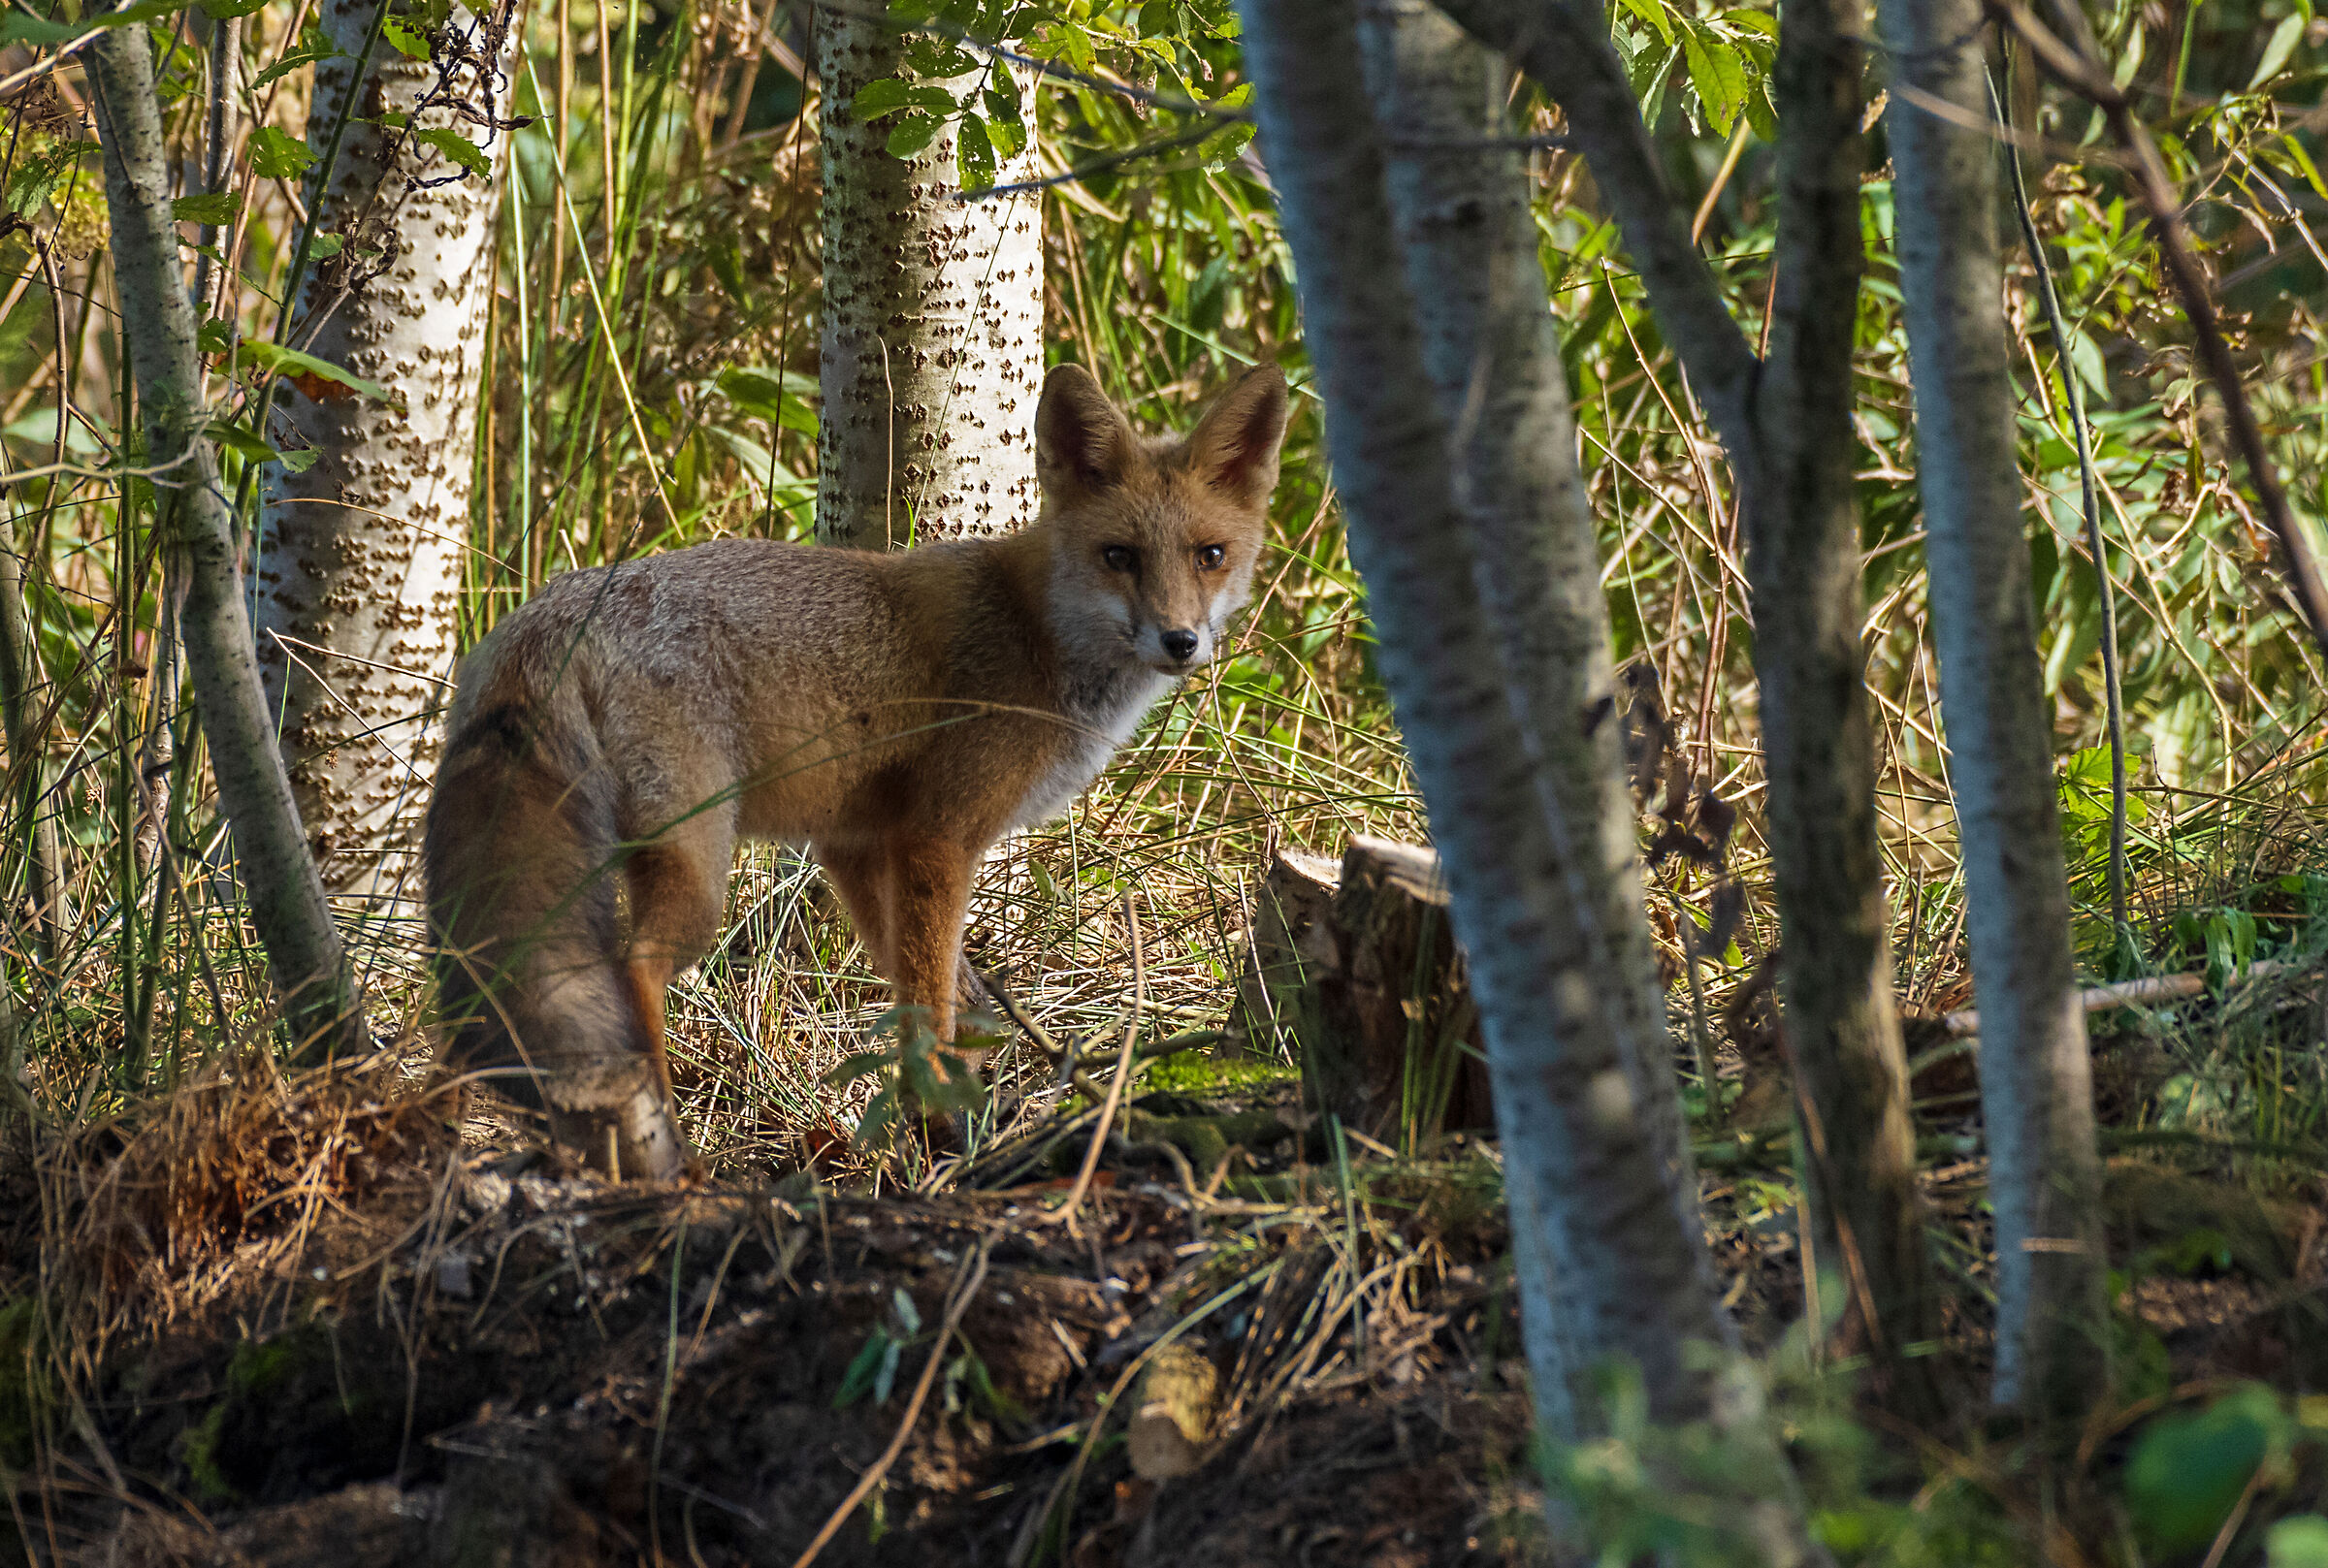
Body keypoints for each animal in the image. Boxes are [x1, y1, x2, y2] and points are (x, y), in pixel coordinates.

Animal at [424, 362, 1291, 1179]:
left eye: (1210, 556)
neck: (1037, 633)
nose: (1181, 641)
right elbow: (932, 1005)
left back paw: (428, 1140)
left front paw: (956, 1120)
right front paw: (941, 1127)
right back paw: (675, 1153)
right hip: (697, 863)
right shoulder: (938, 838)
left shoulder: (854, 842)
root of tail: (544, 613)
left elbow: (937, 999)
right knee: (633, 971)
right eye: (1120, 557)